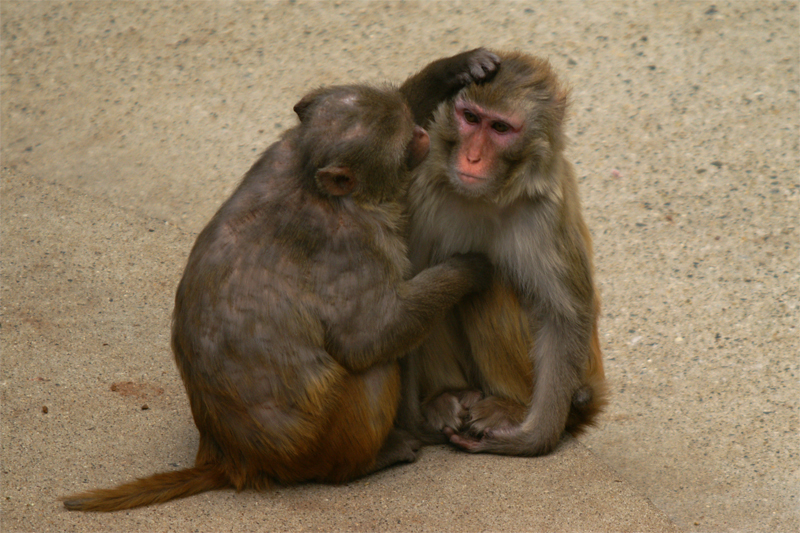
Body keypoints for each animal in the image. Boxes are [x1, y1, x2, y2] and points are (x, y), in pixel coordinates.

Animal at [62, 47, 500, 510]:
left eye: (409, 123)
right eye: (406, 144)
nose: (421, 135)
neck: (312, 178)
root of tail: (231, 458)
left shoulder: (284, 146)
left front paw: (459, 66)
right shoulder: (353, 245)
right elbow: (368, 337)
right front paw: (470, 268)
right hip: (322, 442)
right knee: (374, 367)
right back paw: (370, 460)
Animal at [396, 51, 608, 458]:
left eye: (499, 128)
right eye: (470, 118)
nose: (472, 157)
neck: (485, 197)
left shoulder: (544, 214)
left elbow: (565, 315)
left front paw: (531, 439)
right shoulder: (422, 189)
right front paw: (452, 68)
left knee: (491, 286)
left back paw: (508, 406)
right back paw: (444, 396)